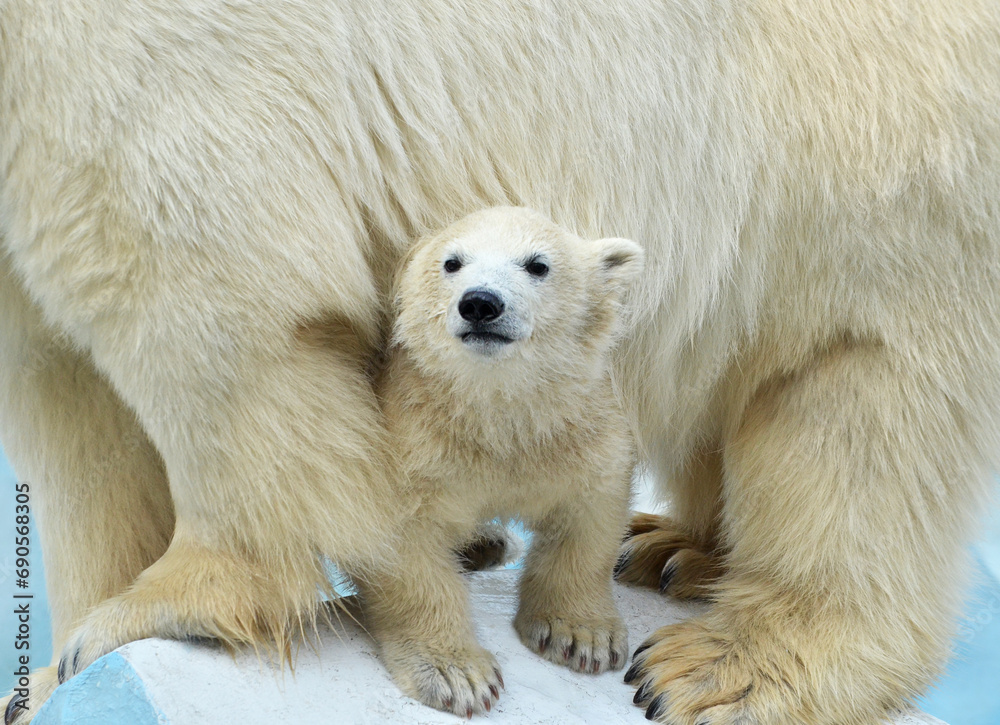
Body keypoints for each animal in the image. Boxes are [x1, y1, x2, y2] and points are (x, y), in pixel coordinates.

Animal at [352, 206, 643, 717]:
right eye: (452, 262)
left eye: (537, 264)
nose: (481, 303)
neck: (496, 416)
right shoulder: (411, 440)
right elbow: (404, 543)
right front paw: (457, 674)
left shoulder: (577, 431)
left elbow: (591, 514)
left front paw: (580, 635)